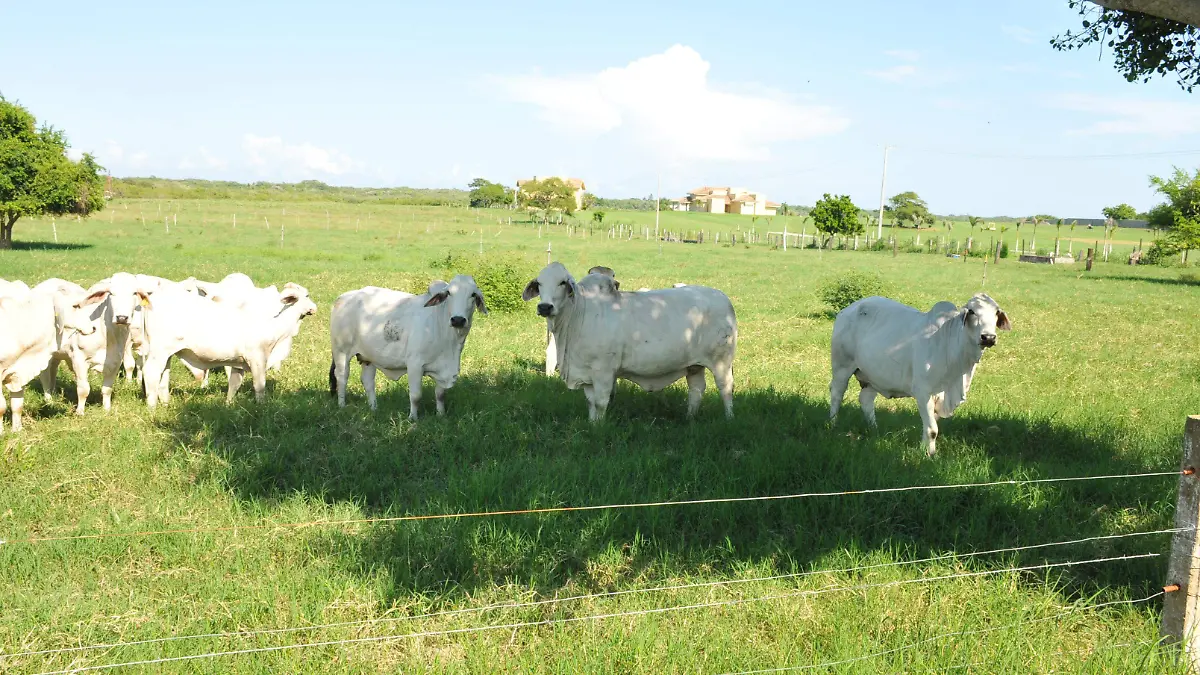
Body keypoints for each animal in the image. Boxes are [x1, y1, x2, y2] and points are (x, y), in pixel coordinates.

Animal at [139, 279, 316, 403]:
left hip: (167, 353)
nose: (314, 308)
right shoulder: (257, 360)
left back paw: (165, 404)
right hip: (159, 350)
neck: (274, 328)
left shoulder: (239, 364)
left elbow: (234, 385)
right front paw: (262, 406)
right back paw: (152, 408)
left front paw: (228, 405)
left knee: (163, 377)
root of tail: (151, 299)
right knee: (151, 373)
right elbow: (259, 387)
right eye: (307, 295)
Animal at [328, 273, 487, 415]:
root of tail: (343, 297)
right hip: (341, 351)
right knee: (342, 377)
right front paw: (413, 418)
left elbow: (440, 395)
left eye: (473, 294)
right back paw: (342, 405)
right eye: (448, 293)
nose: (458, 320)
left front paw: (441, 415)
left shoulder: (443, 370)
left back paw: (374, 408)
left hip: (368, 357)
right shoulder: (415, 365)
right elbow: (416, 396)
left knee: (368, 381)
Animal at [525, 260, 739, 417]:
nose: (545, 307)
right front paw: (592, 425)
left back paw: (729, 419)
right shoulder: (587, 374)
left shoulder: (604, 371)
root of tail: (724, 299)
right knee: (696, 390)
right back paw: (690, 418)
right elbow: (590, 403)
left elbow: (600, 403)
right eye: (539, 283)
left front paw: (599, 429)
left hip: (721, 361)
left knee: (725, 388)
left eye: (562, 282)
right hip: (694, 365)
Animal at [825, 291, 1012, 454]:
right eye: (972, 311)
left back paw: (874, 429)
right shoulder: (923, 392)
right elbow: (932, 430)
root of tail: (847, 310)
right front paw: (930, 455)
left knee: (865, 399)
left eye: (996, 312)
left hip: (873, 376)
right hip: (842, 366)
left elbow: (929, 427)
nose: (988, 337)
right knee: (836, 393)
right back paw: (833, 425)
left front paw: (924, 449)